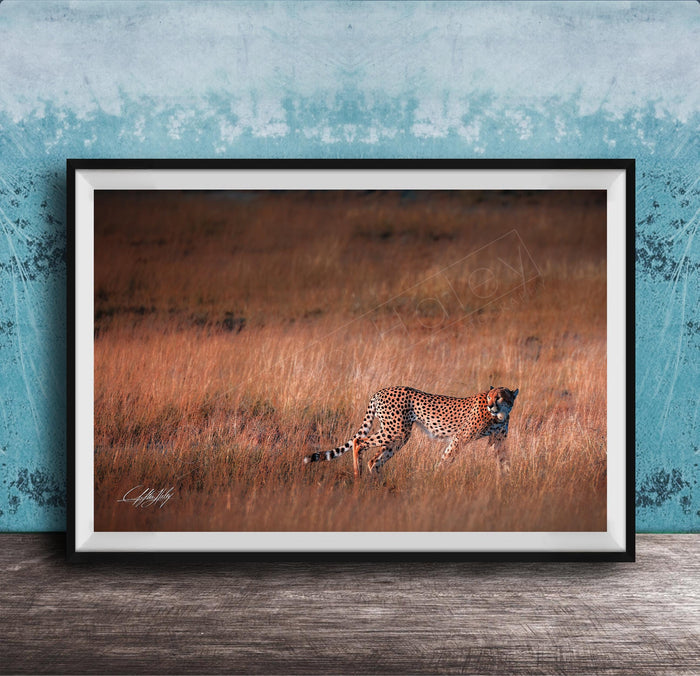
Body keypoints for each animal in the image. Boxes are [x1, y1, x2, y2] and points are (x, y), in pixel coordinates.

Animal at [303, 385, 519, 477]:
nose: (490, 405)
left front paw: (509, 483)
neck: (499, 415)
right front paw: (435, 478)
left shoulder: (498, 441)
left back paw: (377, 485)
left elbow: (505, 462)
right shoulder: (460, 438)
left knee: (375, 460)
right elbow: (446, 458)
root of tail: (380, 391)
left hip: (397, 435)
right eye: (489, 397)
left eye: (499, 397)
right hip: (396, 431)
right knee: (359, 442)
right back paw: (358, 476)